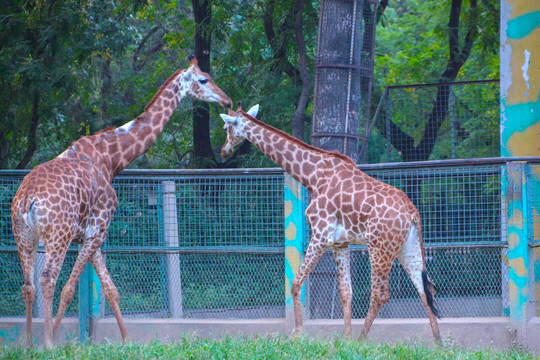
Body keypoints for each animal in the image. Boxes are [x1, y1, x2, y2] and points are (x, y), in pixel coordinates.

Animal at [9, 55, 231, 346]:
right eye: (203, 79)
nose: (227, 101)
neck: (111, 158)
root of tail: (28, 199)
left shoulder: (89, 235)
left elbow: (110, 289)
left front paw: (127, 341)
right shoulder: (98, 229)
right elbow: (70, 288)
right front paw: (57, 338)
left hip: (25, 235)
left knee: (28, 285)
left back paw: (28, 343)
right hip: (56, 235)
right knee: (47, 280)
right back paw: (47, 344)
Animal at [221, 105, 440, 344]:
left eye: (225, 127)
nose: (224, 151)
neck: (313, 176)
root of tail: (412, 213)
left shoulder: (321, 235)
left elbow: (296, 282)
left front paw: (298, 333)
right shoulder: (339, 243)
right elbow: (345, 292)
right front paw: (345, 339)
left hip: (379, 247)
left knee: (381, 292)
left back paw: (362, 339)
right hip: (407, 248)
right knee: (426, 288)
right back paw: (438, 344)